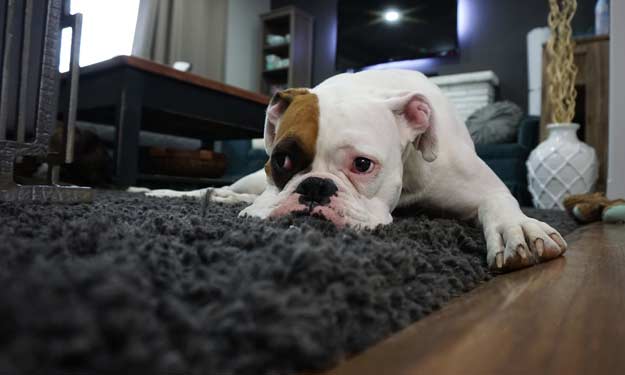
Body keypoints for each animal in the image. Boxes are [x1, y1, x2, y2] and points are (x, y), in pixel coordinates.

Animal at [144, 70, 568, 270]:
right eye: (282, 160)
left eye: (362, 165)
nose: (315, 187)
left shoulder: (484, 187)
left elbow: (501, 203)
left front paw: (519, 229)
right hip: (248, 181)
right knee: (229, 190)